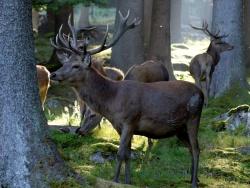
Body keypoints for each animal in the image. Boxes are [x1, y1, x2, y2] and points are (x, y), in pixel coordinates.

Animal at [50, 11, 203, 188]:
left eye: (76, 65)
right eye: (65, 63)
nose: (53, 74)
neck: (112, 100)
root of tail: (201, 94)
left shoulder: (130, 121)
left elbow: (120, 153)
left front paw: (115, 181)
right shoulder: (119, 125)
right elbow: (128, 154)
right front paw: (128, 181)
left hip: (194, 117)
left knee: (196, 148)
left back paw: (194, 182)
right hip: (179, 128)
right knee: (190, 148)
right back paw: (192, 178)